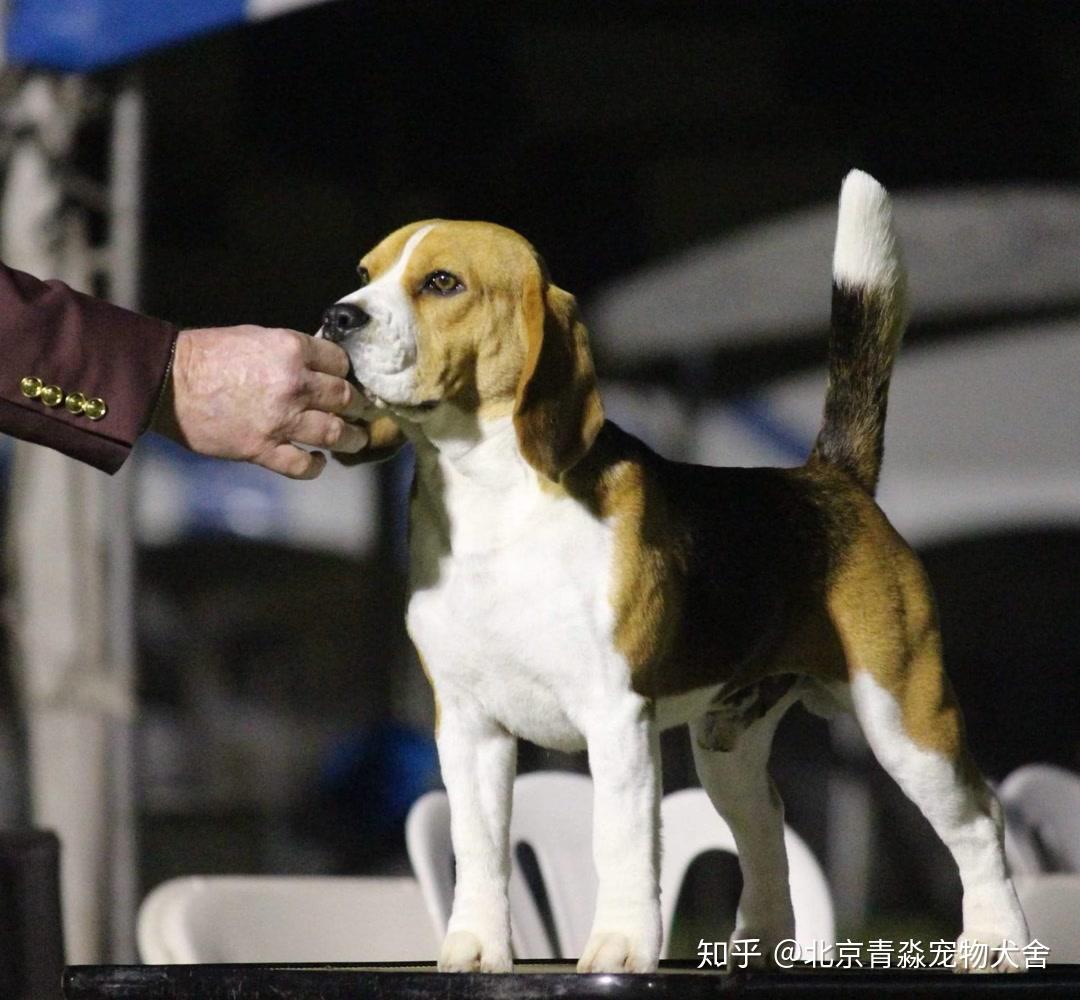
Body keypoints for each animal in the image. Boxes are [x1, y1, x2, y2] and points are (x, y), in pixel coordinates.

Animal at [317, 176, 1028, 976]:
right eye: (364, 274)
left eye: (443, 283)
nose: (336, 318)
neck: (495, 503)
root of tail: (828, 478)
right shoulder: (467, 724)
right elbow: (477, 845)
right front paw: (474, 948)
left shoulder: (614, 714)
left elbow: (619, 840)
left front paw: (620, 948)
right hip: (728, 748)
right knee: (768, 830)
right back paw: (757, 947)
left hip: (905, 717)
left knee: (980, 818)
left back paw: (997, 942)